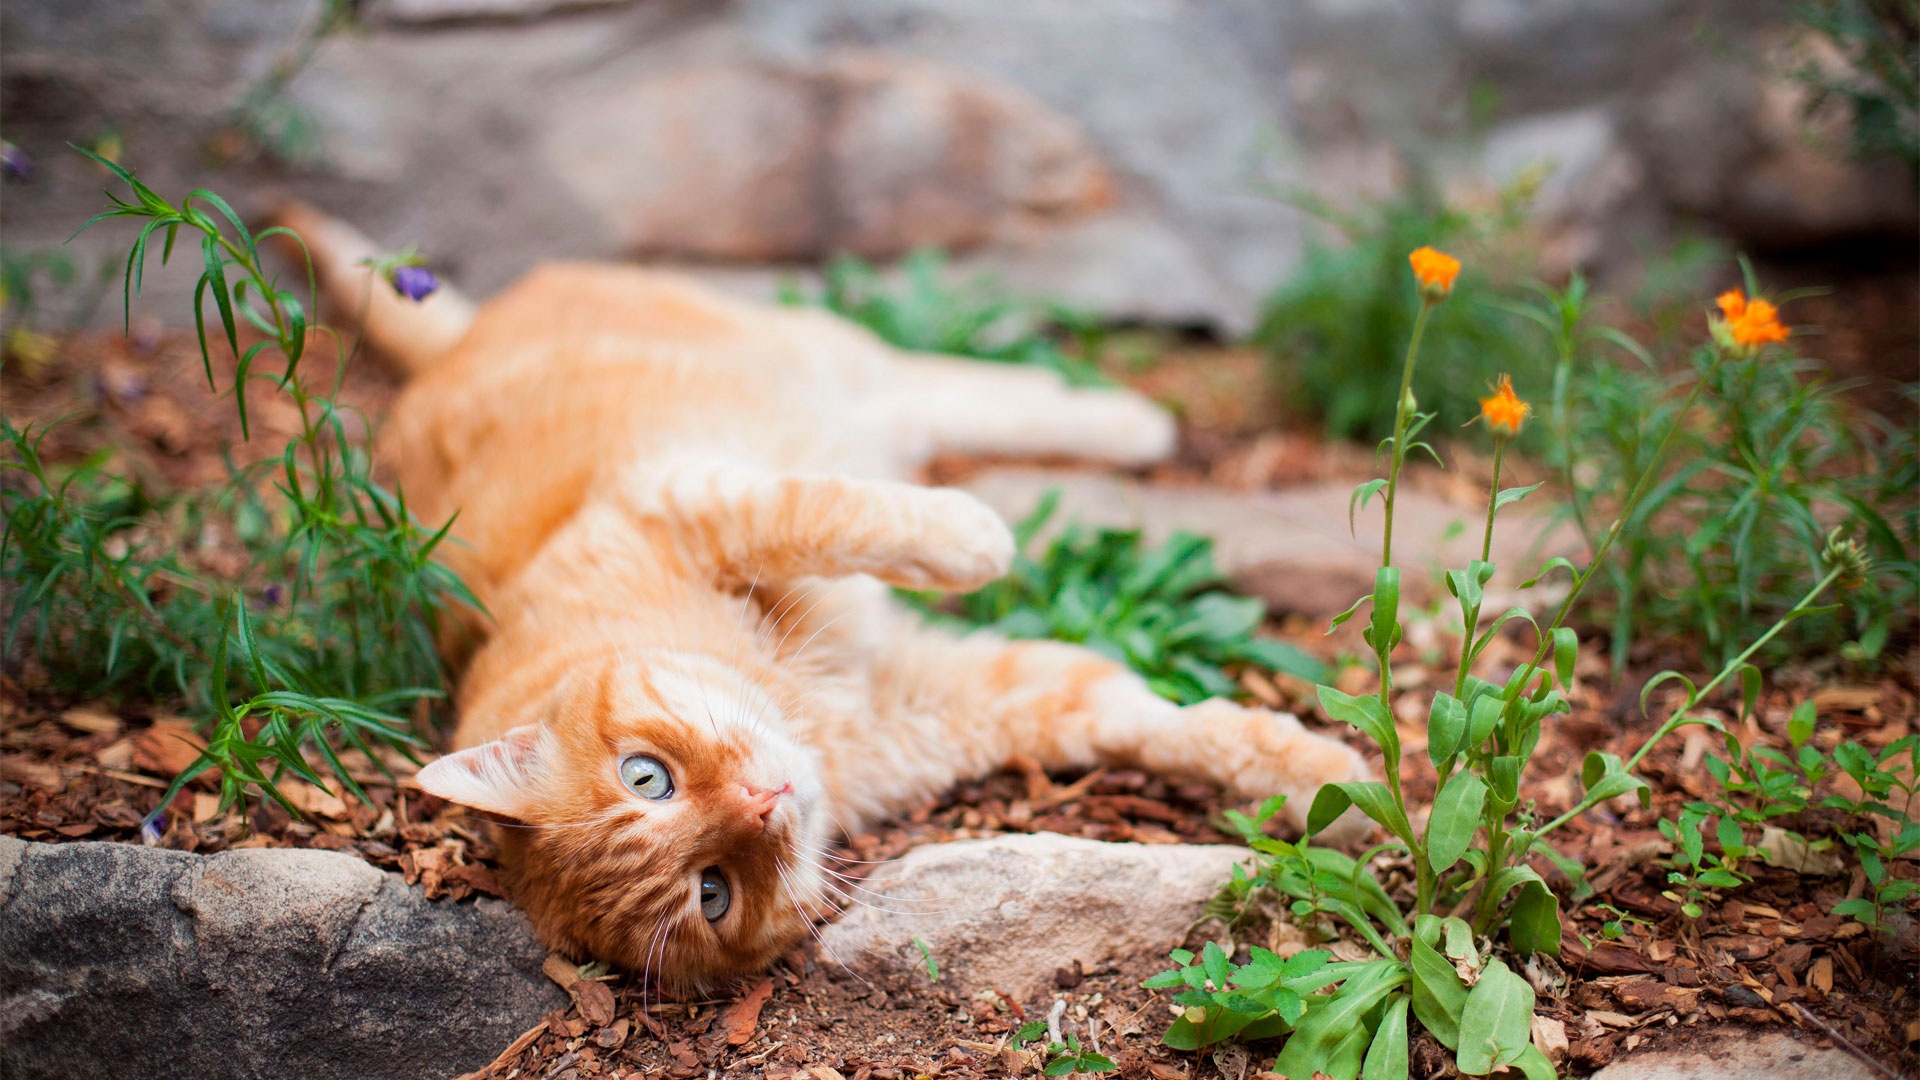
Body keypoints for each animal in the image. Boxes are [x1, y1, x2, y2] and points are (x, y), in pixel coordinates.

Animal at [278, 201, 1374, 983]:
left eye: (645, 776)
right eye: (713, 892)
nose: (766, 801)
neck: (807, 707)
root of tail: (455, 344)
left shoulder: (684, 499)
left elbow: (834, 510)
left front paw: (976, 538)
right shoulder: (987, 698)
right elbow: (1165, 723)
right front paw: (1337, 787)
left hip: (816, 354)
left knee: (953, 387)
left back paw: (1127, 420)